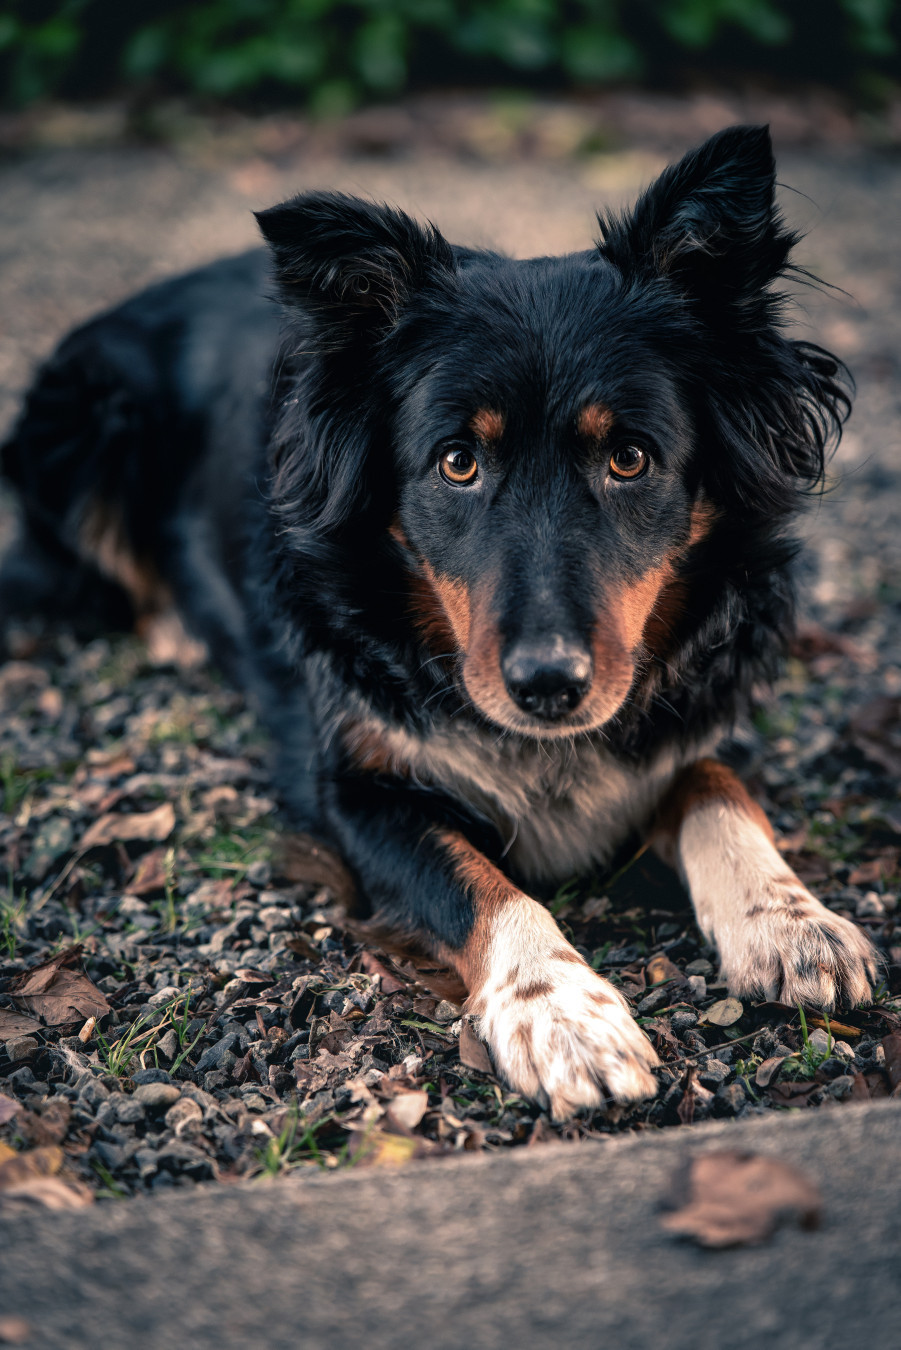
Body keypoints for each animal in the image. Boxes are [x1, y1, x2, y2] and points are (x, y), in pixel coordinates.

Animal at [1, 126, 875, 1117]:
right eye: (458, 462)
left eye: (629, 458)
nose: (548, 687)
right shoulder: (354, 790)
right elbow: (476, 883)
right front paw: (558, 1009)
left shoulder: (685, 716)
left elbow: (717, 788)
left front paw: (791, 922)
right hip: (81, 428)